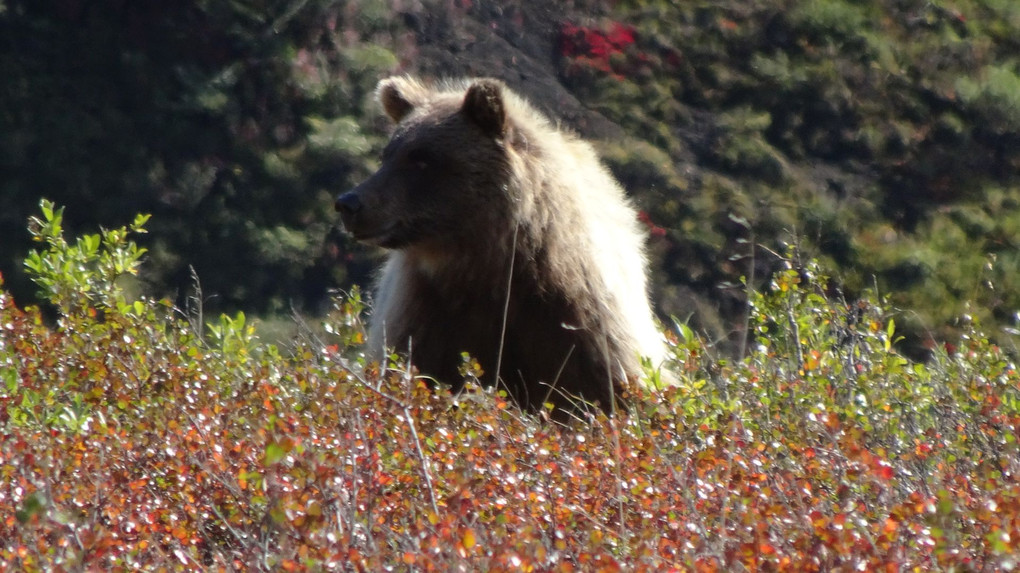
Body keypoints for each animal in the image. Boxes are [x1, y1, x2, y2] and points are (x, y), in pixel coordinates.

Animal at [334, 75, 669, 411]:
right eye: (388, 154)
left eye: (422, 159)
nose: (349, 203)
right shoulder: (426, 312)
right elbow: (420, 371)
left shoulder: (573, 316)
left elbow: (606, 389)